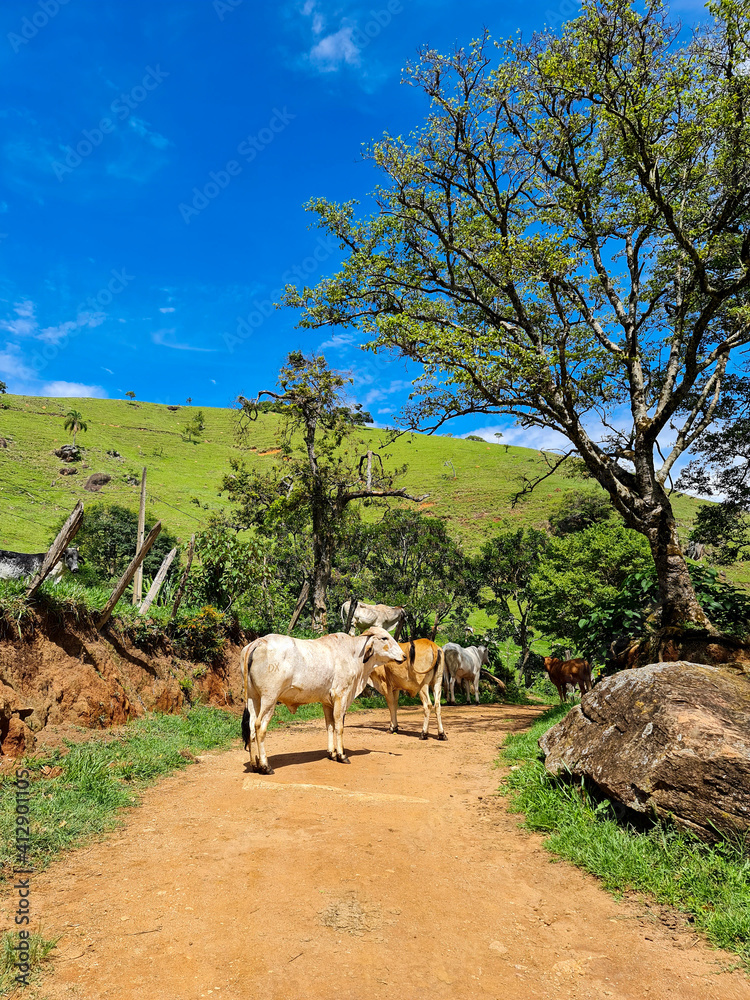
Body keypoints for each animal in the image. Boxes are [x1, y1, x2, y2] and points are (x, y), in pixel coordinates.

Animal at [240, 626, 406, 775]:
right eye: (384, 638)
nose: (404, 656)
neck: (353, 654)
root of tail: (259, 642)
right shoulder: (340, 695)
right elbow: (339, 726)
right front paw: (341, 755)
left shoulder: (327, 702)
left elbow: (330, 726)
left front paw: (332, 753)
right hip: (269, 699)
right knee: (259, 727)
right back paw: (265, 766)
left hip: (253, 698)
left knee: (251, 728)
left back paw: (255, 765)